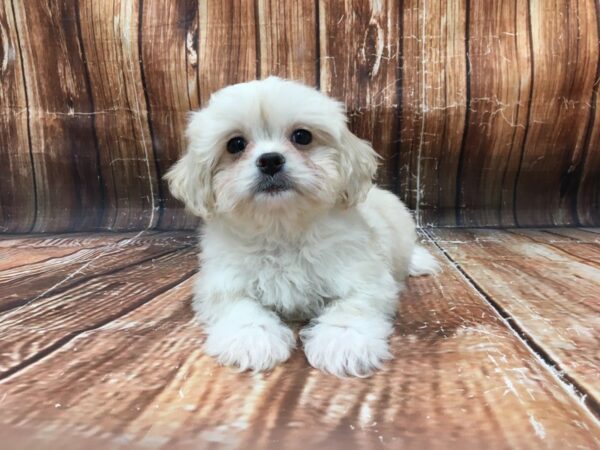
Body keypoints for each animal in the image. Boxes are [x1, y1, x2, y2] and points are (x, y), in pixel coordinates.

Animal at [166, 76, 438, 376]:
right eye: (235, 144)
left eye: (302, 137)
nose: (270, 160)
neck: (282, 228)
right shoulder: (222, 281)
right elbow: (239, 306)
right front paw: (251, 337)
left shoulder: (366, 275)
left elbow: (354, 305)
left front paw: (343, 340)